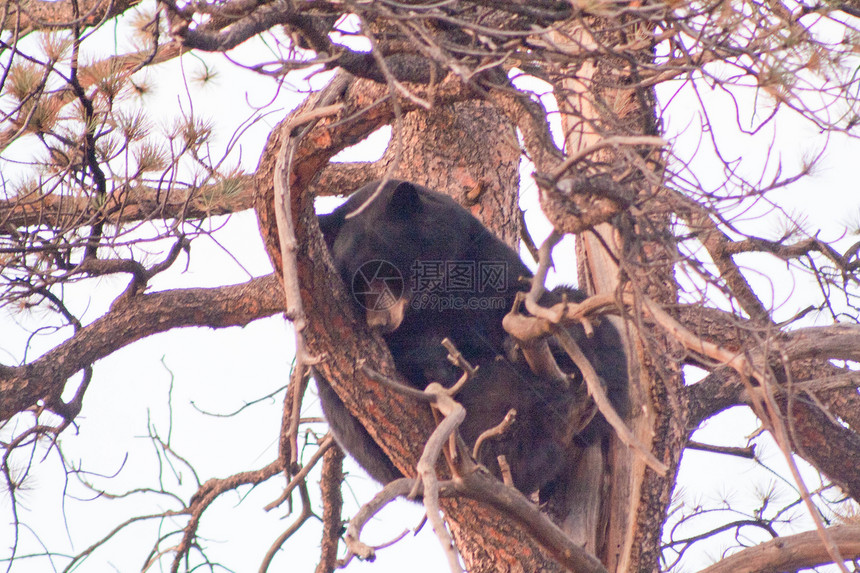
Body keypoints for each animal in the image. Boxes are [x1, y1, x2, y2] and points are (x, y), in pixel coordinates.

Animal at [316, 178, 624, 492]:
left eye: (388, 273)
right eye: (357, 283)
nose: (380, 323)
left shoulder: (479, 256)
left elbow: (521, 302)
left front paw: (535, 340)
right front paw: (437, 360)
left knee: (594, 329)